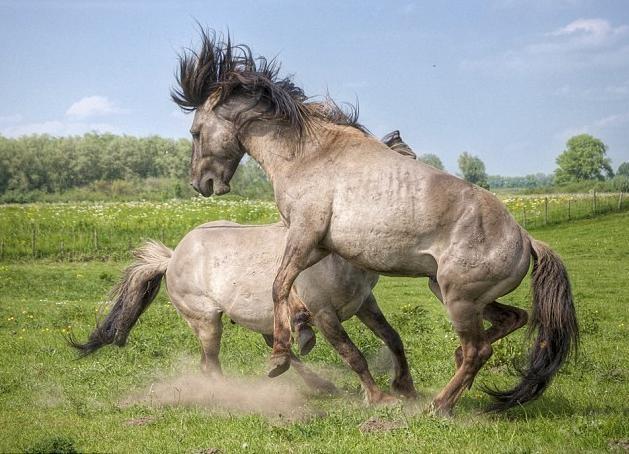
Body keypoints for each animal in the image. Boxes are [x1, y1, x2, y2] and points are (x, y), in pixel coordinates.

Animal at [170, 30, 580, 414]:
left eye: (195, 132)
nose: (201, 183)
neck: (307, 154)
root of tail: (525, 239)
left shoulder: (304, 233)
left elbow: (279, 285)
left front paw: (280, 357)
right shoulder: (320, 245)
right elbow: (291, 287)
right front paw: (301, 333)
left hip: (458, 298)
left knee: (479, 350)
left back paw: (439, 405)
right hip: (451, 291)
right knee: (512, 319)